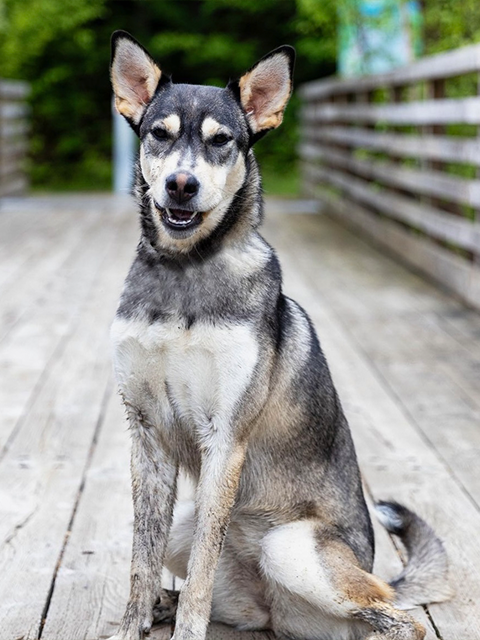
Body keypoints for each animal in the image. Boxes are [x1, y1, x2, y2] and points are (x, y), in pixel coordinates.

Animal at [108, 30, 452, 640]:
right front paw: (135, 622)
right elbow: (140, 563)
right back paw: (167, 607)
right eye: (159, 134)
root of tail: (273, 607)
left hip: (291, 549)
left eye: (221, 141)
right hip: (191, 535)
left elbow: (201, 571)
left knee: (397, 617)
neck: (183, 273)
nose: (180, 184)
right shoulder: (145, 433)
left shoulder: (225, 438)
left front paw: (185, 628)